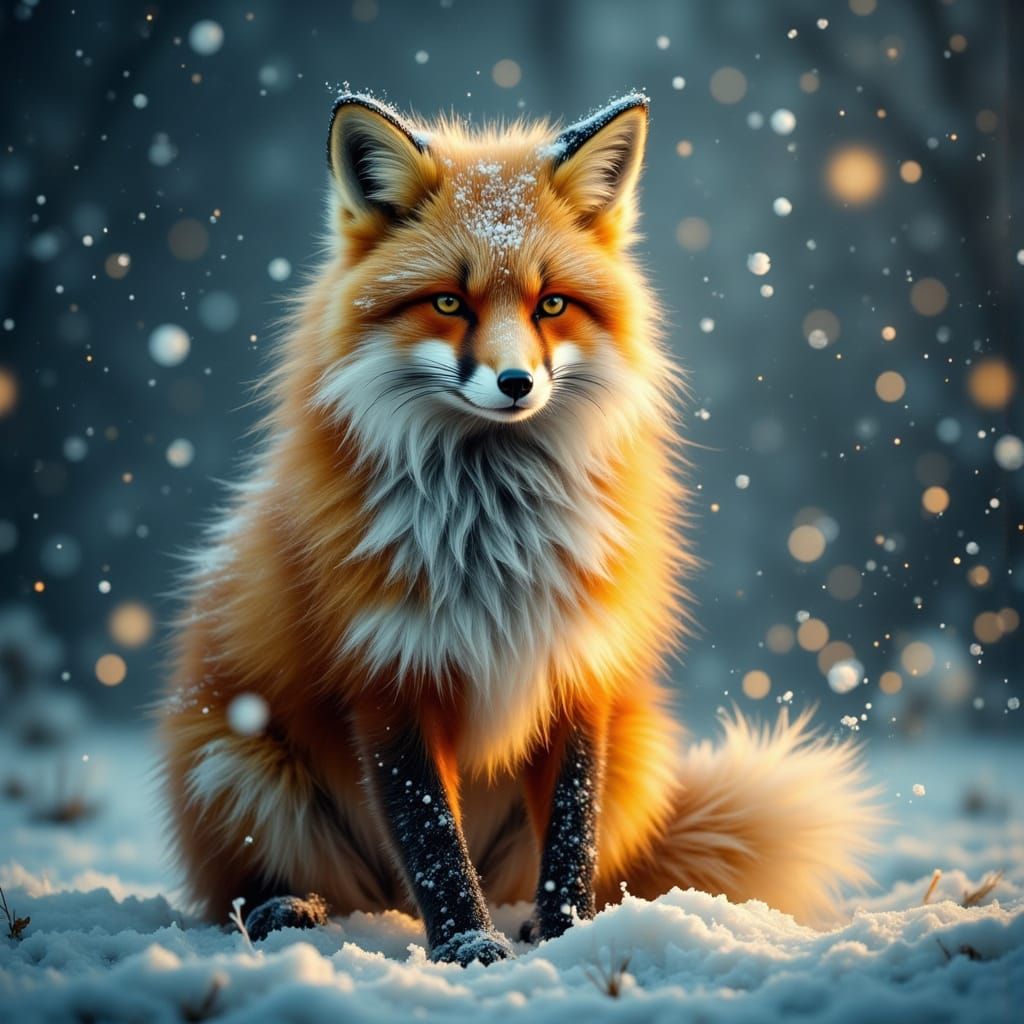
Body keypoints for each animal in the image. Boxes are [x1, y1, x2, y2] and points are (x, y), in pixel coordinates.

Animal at [160, 91, 880, 965]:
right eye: (449, 302)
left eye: (552, 304)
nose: (515, 383)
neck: (490, 536)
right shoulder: (389, 677)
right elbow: (432, 838)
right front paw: (467, 946)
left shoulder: (577, 667)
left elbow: (571, 833)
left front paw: (566, 936)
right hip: (235, 765)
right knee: (268, 886)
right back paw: (287, 908)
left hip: (636, 756)